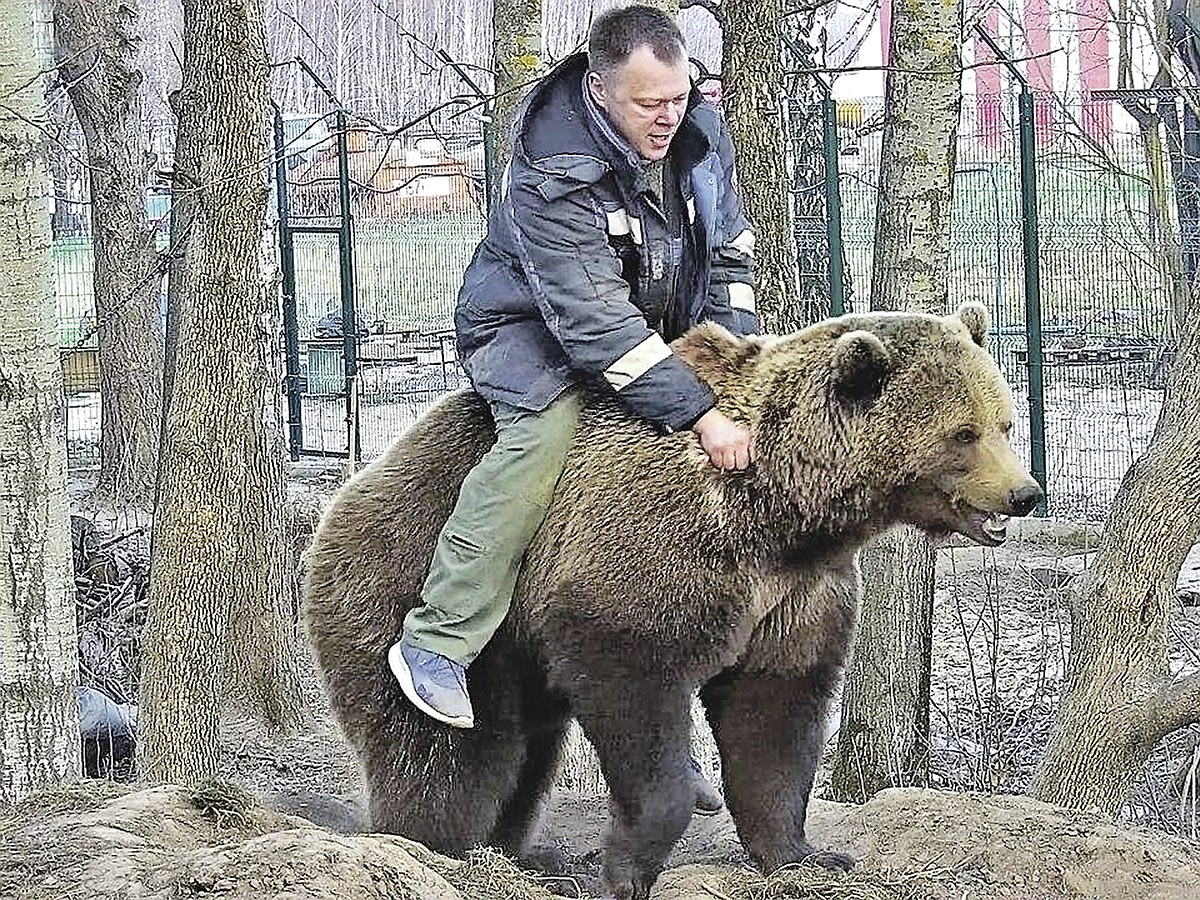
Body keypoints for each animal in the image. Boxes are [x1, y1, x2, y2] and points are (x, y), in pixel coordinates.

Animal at [297, 304, 1041, 900]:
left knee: (530, 749)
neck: (780, 515)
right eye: (964, 433)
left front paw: (805, 854)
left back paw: (519, 852)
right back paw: (437, 845)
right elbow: (638, 692)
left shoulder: (793, 596)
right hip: (415, 589)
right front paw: (629, 867)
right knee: (453, 752)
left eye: (1003, 420)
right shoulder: (651, 561)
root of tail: (352, 490)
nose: (1024, 493)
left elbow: (775, 717)